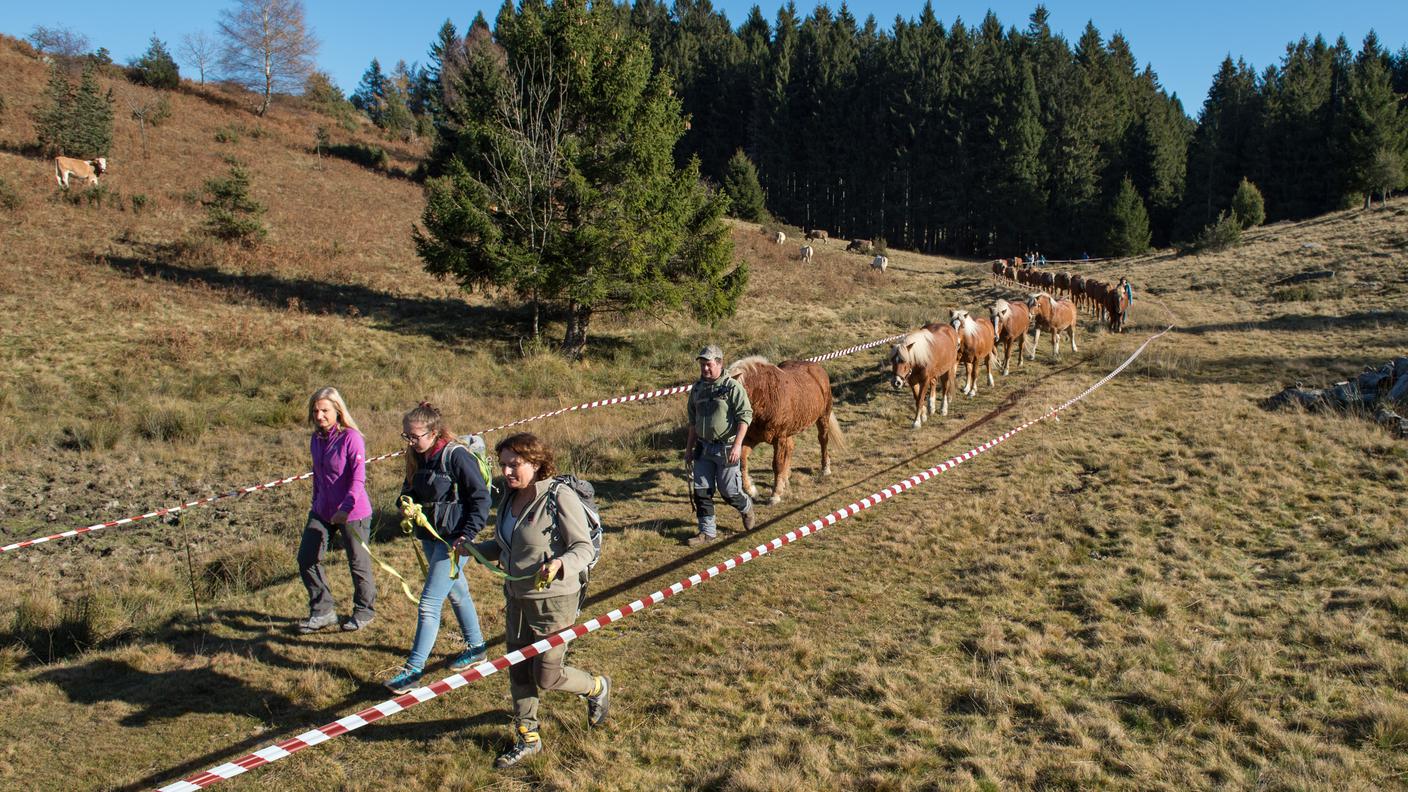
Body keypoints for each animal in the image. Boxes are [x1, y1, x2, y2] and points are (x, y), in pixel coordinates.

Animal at [720, 356, 839, 501]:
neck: (765, 397)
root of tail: (818, 368)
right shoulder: (751, 438)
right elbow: (742, 460)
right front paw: (751, 490)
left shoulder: (778, 438)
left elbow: (777, 464)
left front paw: (775, 495)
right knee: (791, 447)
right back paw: (785, 479)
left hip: (823, 417)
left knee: (823, 440)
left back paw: (825, 468)